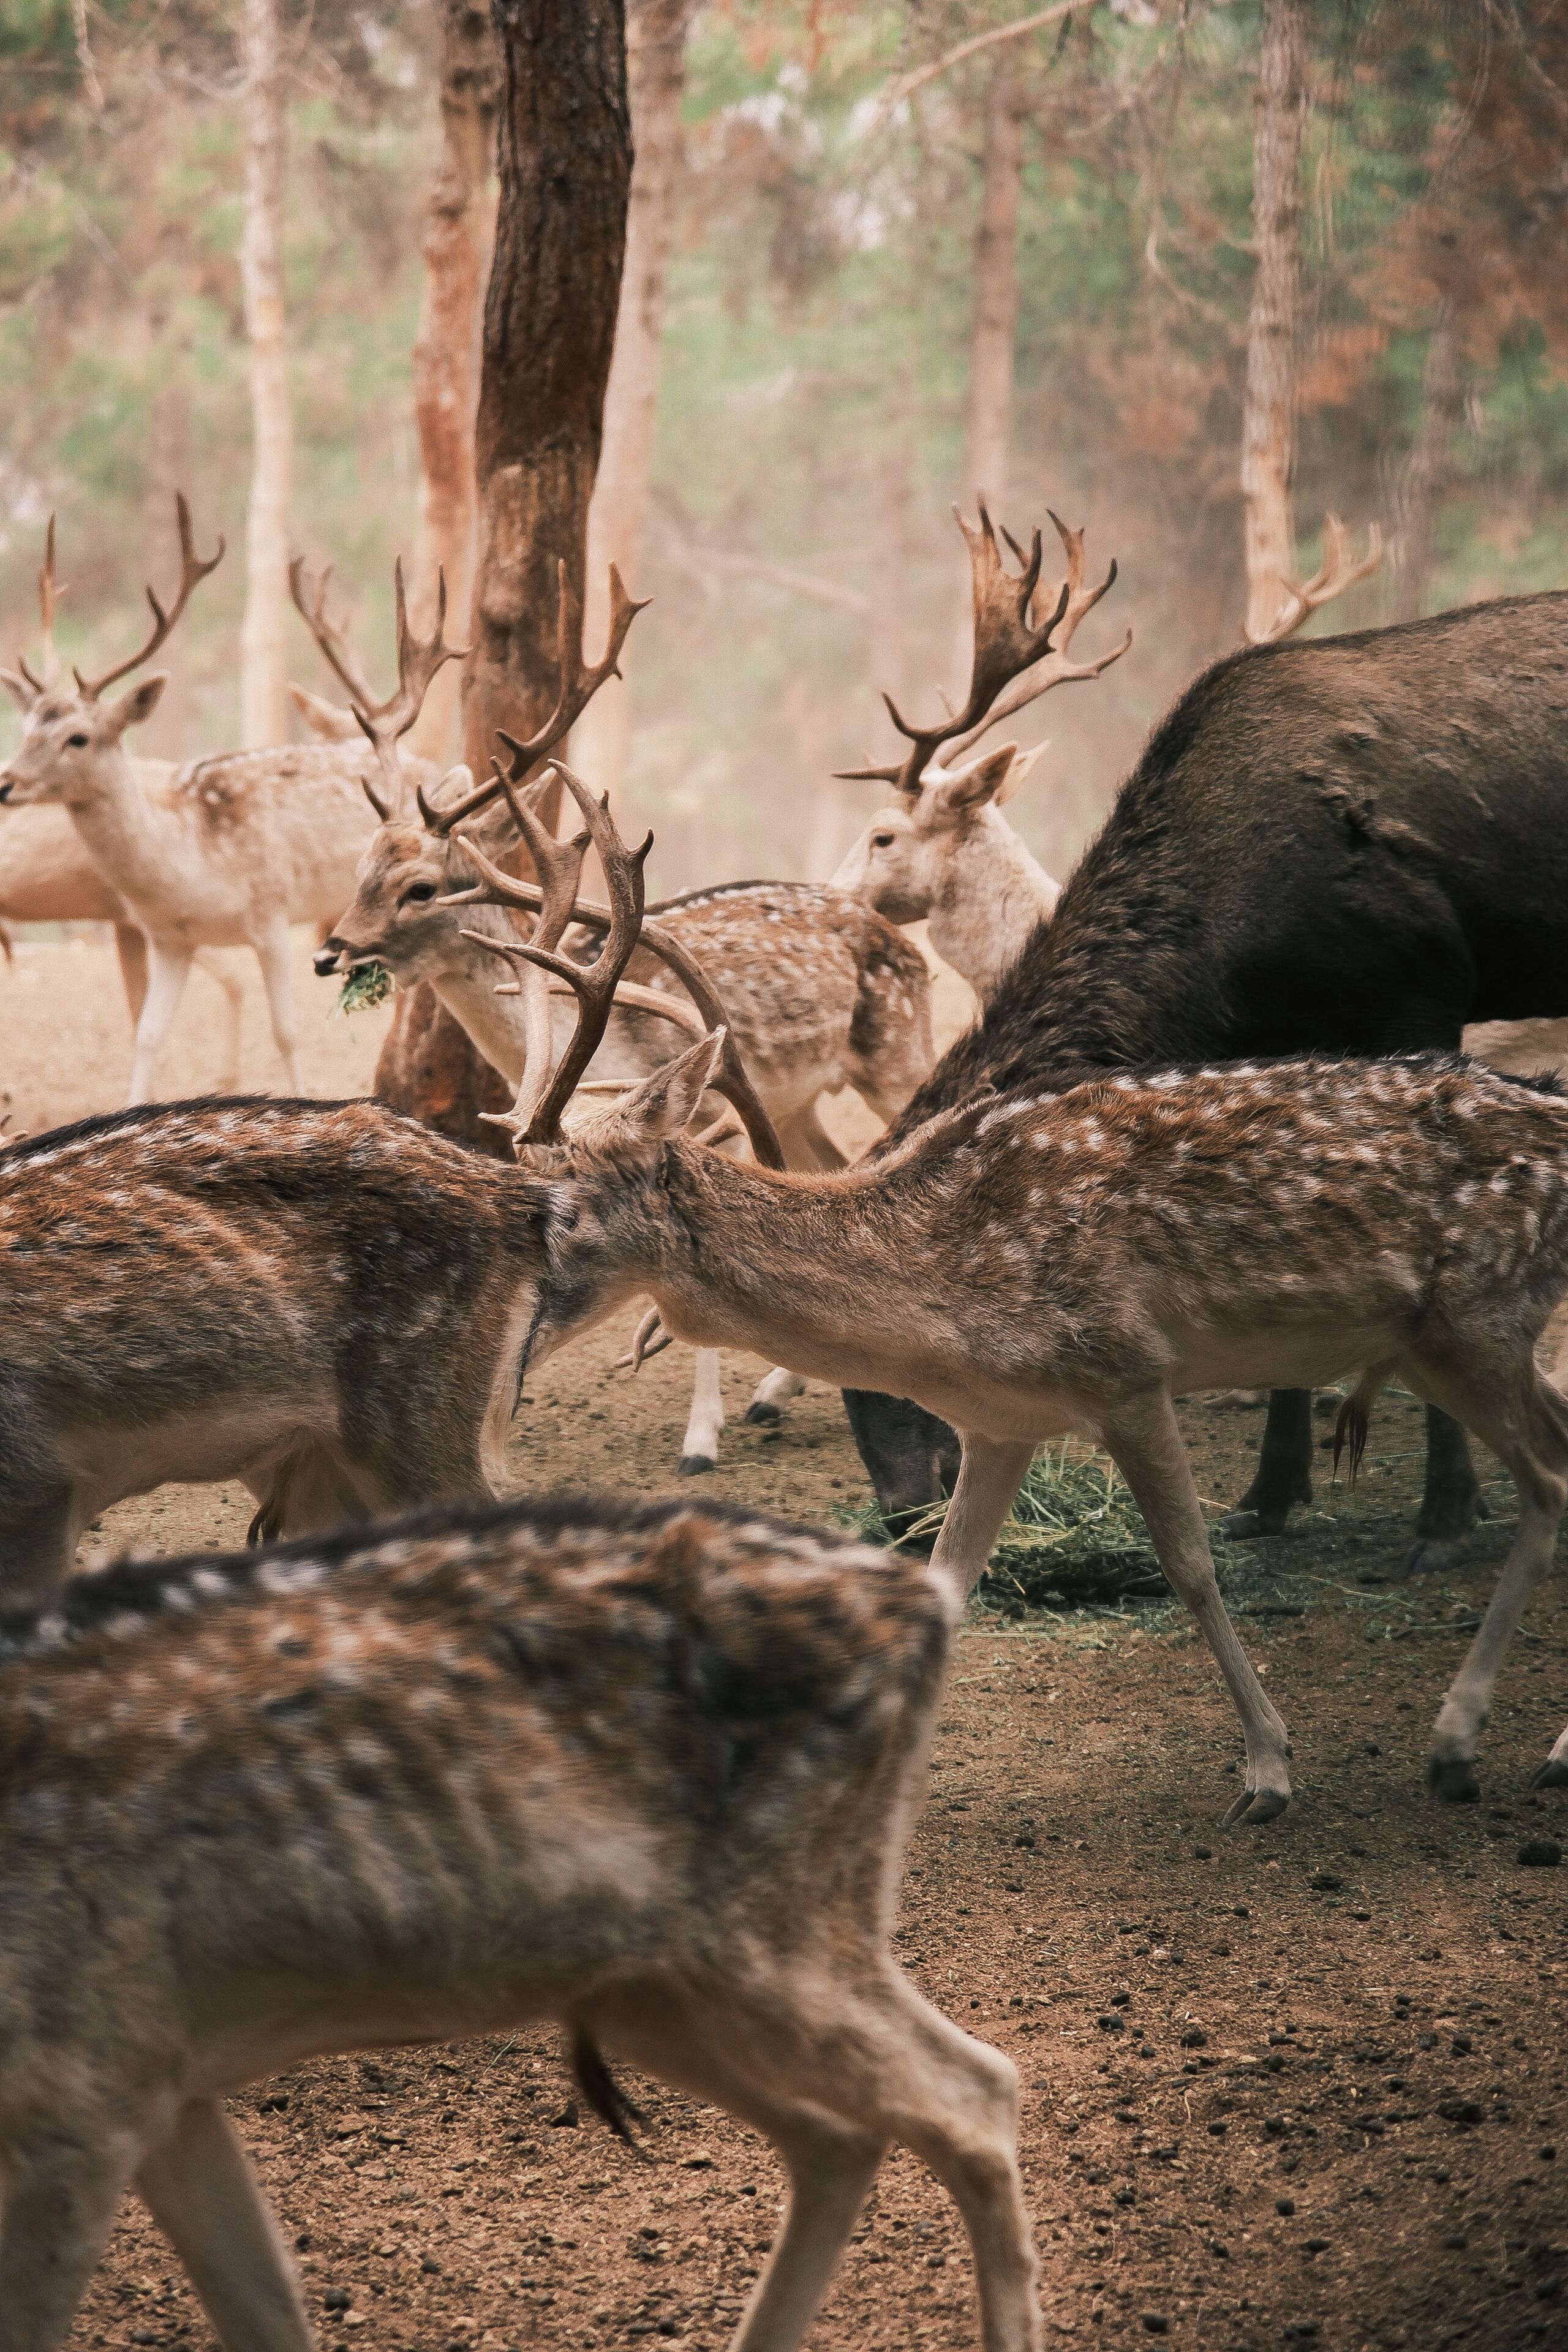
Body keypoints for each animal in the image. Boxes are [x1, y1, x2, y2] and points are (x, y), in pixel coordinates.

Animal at [0, 501, 440, 1105]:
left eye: (78, 738)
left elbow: (285, 1031)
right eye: (26, 730)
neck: (192, 869)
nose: (6, 782)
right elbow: (147, 1035)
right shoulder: (167, 939)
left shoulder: (271, 911)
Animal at [0, 1489, 1040, 2352]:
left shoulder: (78, 2100)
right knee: (841, 2136)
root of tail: (928, 1601)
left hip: (774, 1934)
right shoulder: (160, 2081)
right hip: (647, 1989)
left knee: (977, 2091)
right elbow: (263, 2306)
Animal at [303, 554, 935, 1470]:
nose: (330, 952)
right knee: (830, 1169)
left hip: (895, 1054)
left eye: (420, 887)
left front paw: (700, 1439)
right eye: (360, 867)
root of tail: (893, 928)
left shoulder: (701, 1112)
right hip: (801, 1098)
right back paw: (781, 1389)